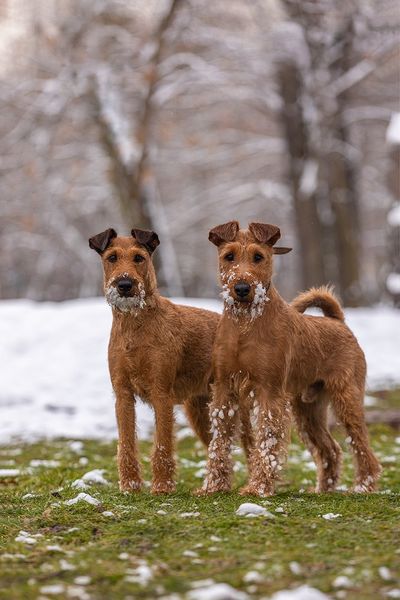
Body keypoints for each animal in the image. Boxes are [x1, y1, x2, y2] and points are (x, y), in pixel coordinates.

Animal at [88, 227, 219, 494]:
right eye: (112, 257)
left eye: (139, 258)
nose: (125, 284)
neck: (135, 324)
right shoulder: (123, 395)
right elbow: (126, 443)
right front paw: (129, 485)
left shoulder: (162, 394)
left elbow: (162, 444)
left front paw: (162, 487)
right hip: (199, 411)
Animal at [200, 220, 382, 496]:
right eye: (229, 256)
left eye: (258, 256)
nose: (241, 288)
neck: (245, 324)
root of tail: (338, 322)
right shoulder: (224, 390)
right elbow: (218, 442)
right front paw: (213, 486)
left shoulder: (269, 392)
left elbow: (266, 442)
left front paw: (258, 487)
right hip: (308, 410)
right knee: (331, 450)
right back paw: (323, 490)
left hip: (347, 400)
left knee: (362, 448)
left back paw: (363, 487)